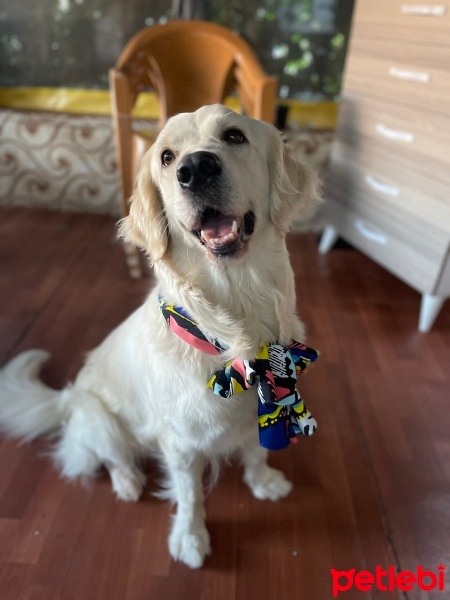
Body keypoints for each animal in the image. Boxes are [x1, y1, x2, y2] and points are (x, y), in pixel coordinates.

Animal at [0, 105, 320, 568]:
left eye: (234, 135)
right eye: (167, 158)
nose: (196, 168)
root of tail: (67, 398)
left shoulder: (265, 406)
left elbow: (258, 449)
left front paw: (264, 481)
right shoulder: (181, 445)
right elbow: (190, 497)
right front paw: (190, 538)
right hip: (102, 422)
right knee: (109, 458)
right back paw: (128, 481)